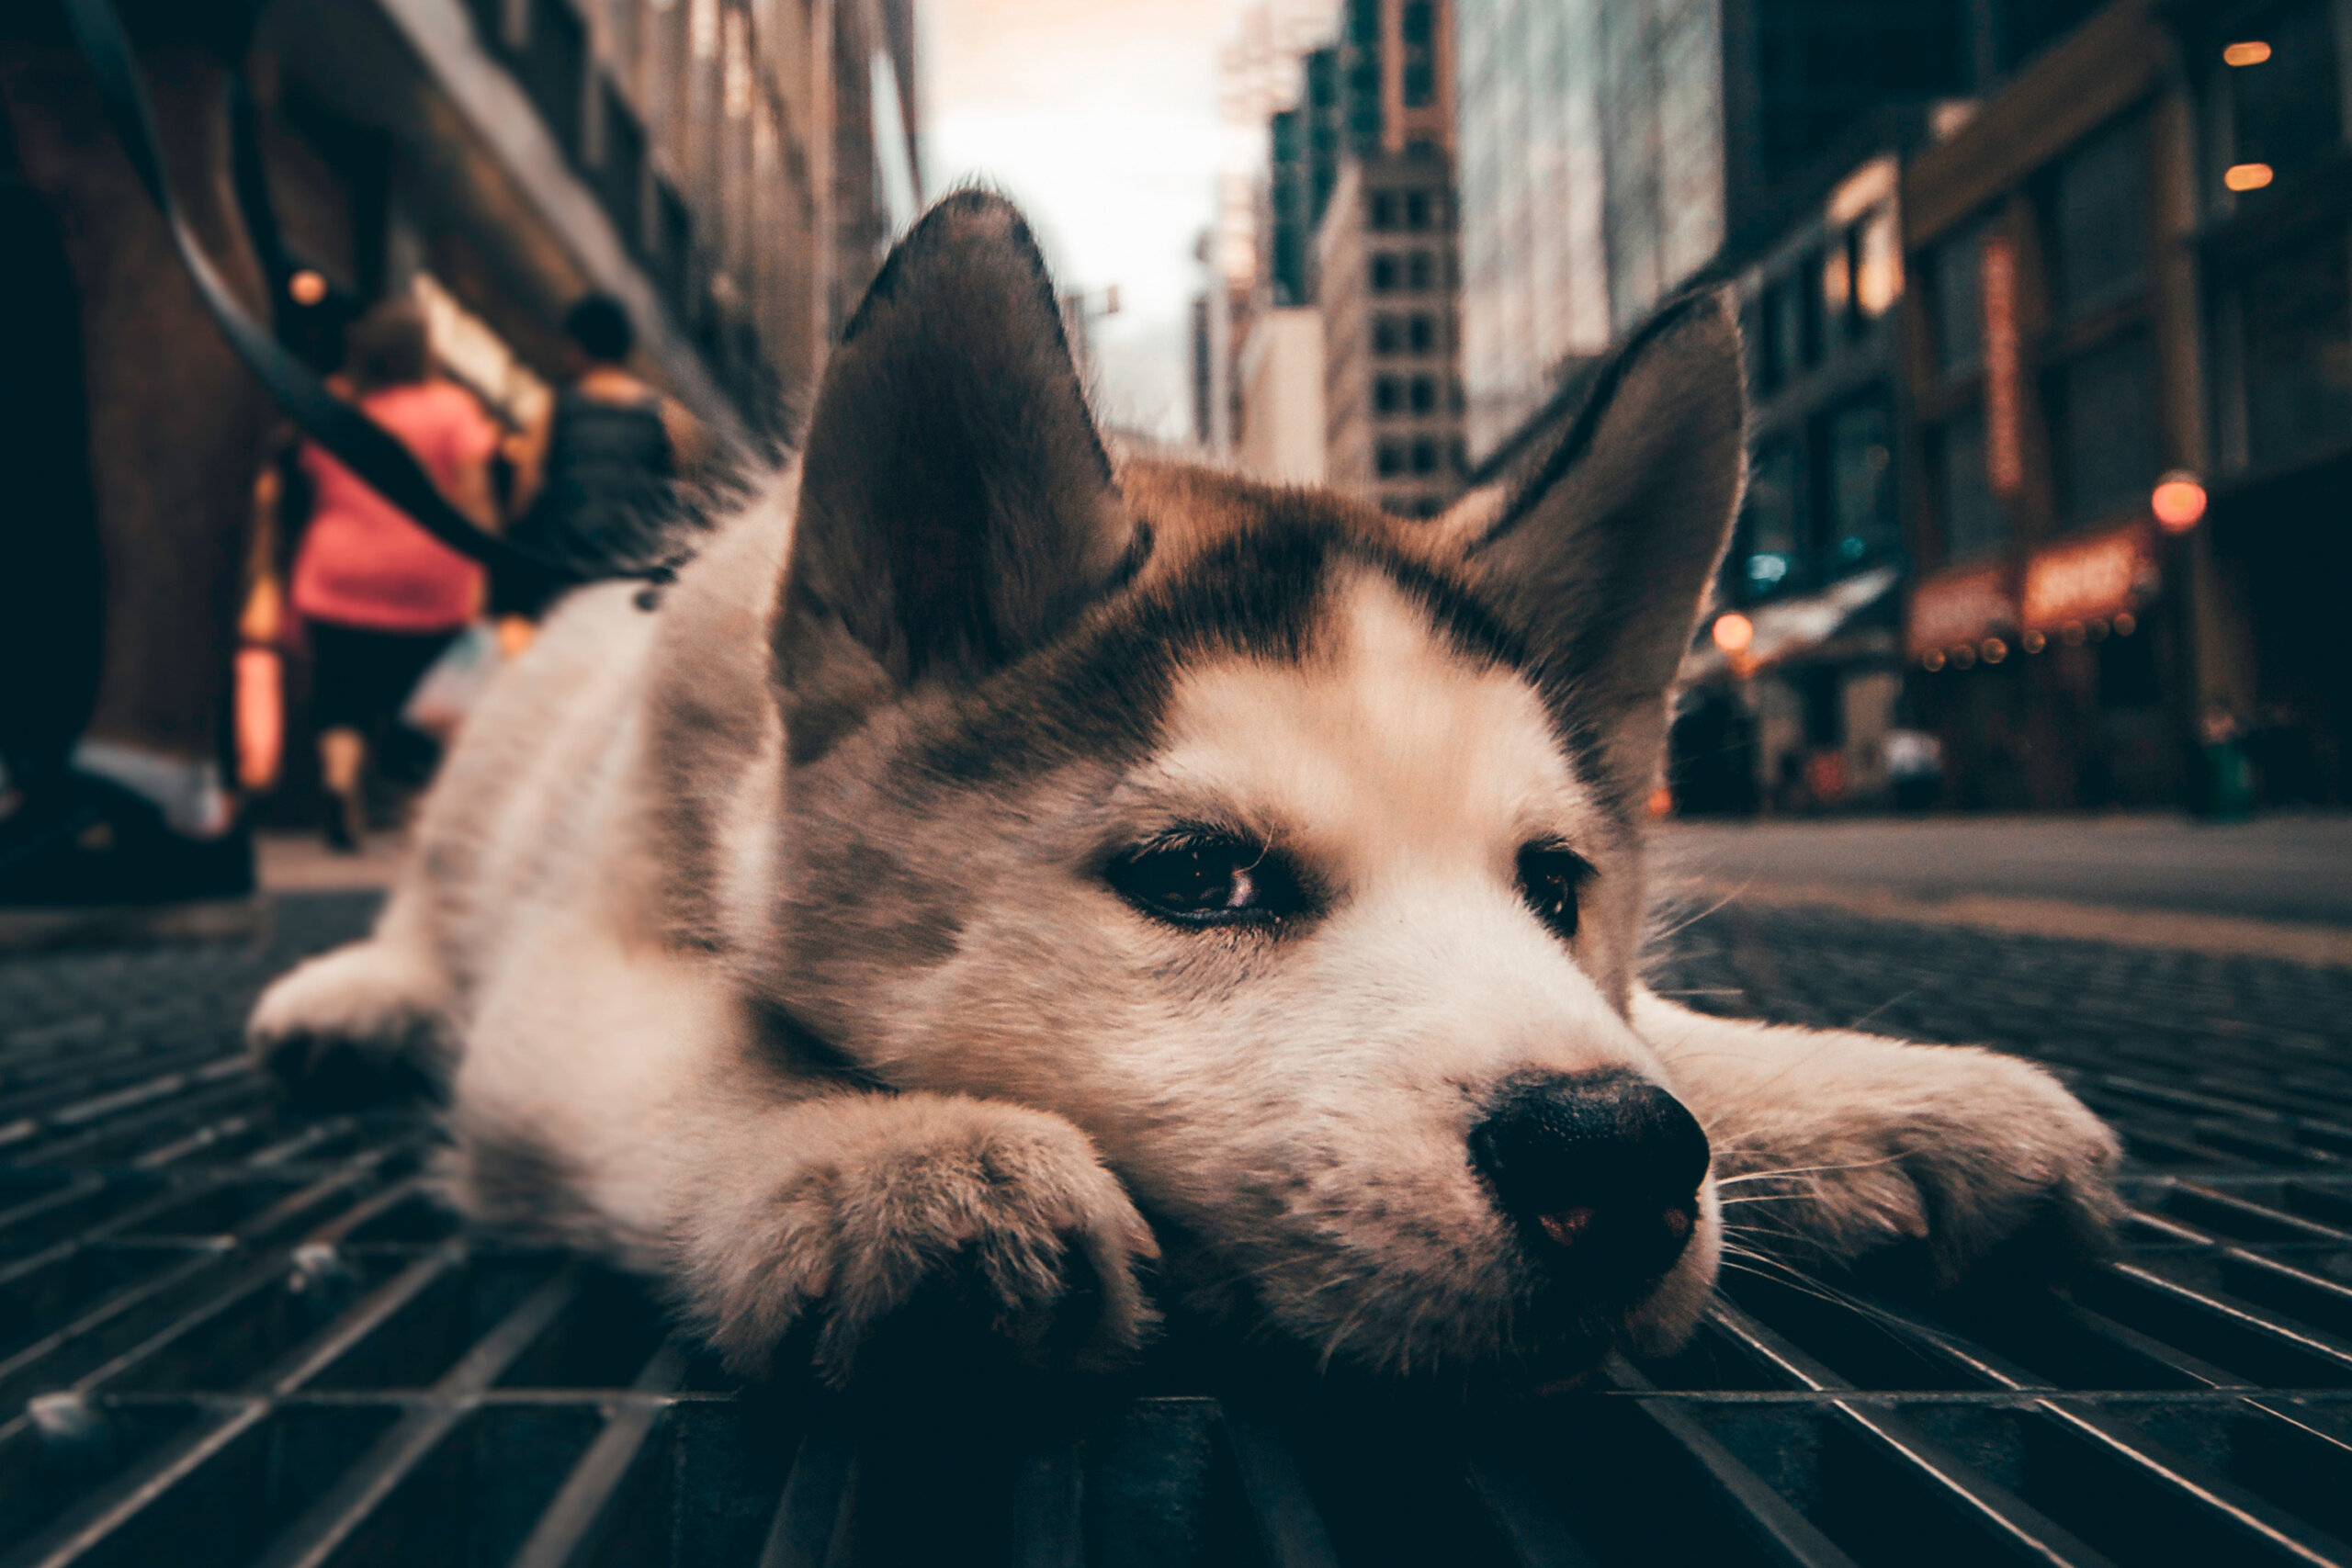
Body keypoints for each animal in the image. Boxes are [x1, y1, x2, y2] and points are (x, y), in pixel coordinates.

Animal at [248, 192, 2126, 1382]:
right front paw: (888, 1150)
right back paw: (356, 989)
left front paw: (1877, 1094)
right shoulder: (582, 972)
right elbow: (705, 1049)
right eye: (1199, 878)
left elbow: (1657, 1031)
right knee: (428, 910)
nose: (1613, 1163)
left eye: (1556, 886)